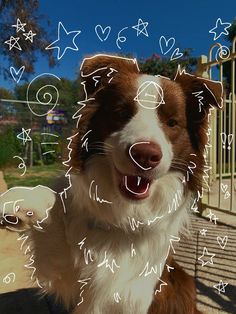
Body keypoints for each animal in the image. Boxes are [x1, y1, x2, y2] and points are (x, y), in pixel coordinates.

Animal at [0, 55, 222, 312]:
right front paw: (23, 200)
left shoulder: (137, 292)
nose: (145, 155)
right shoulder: (67, 274)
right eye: (122, 113)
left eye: (172, 122)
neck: (125, 214)